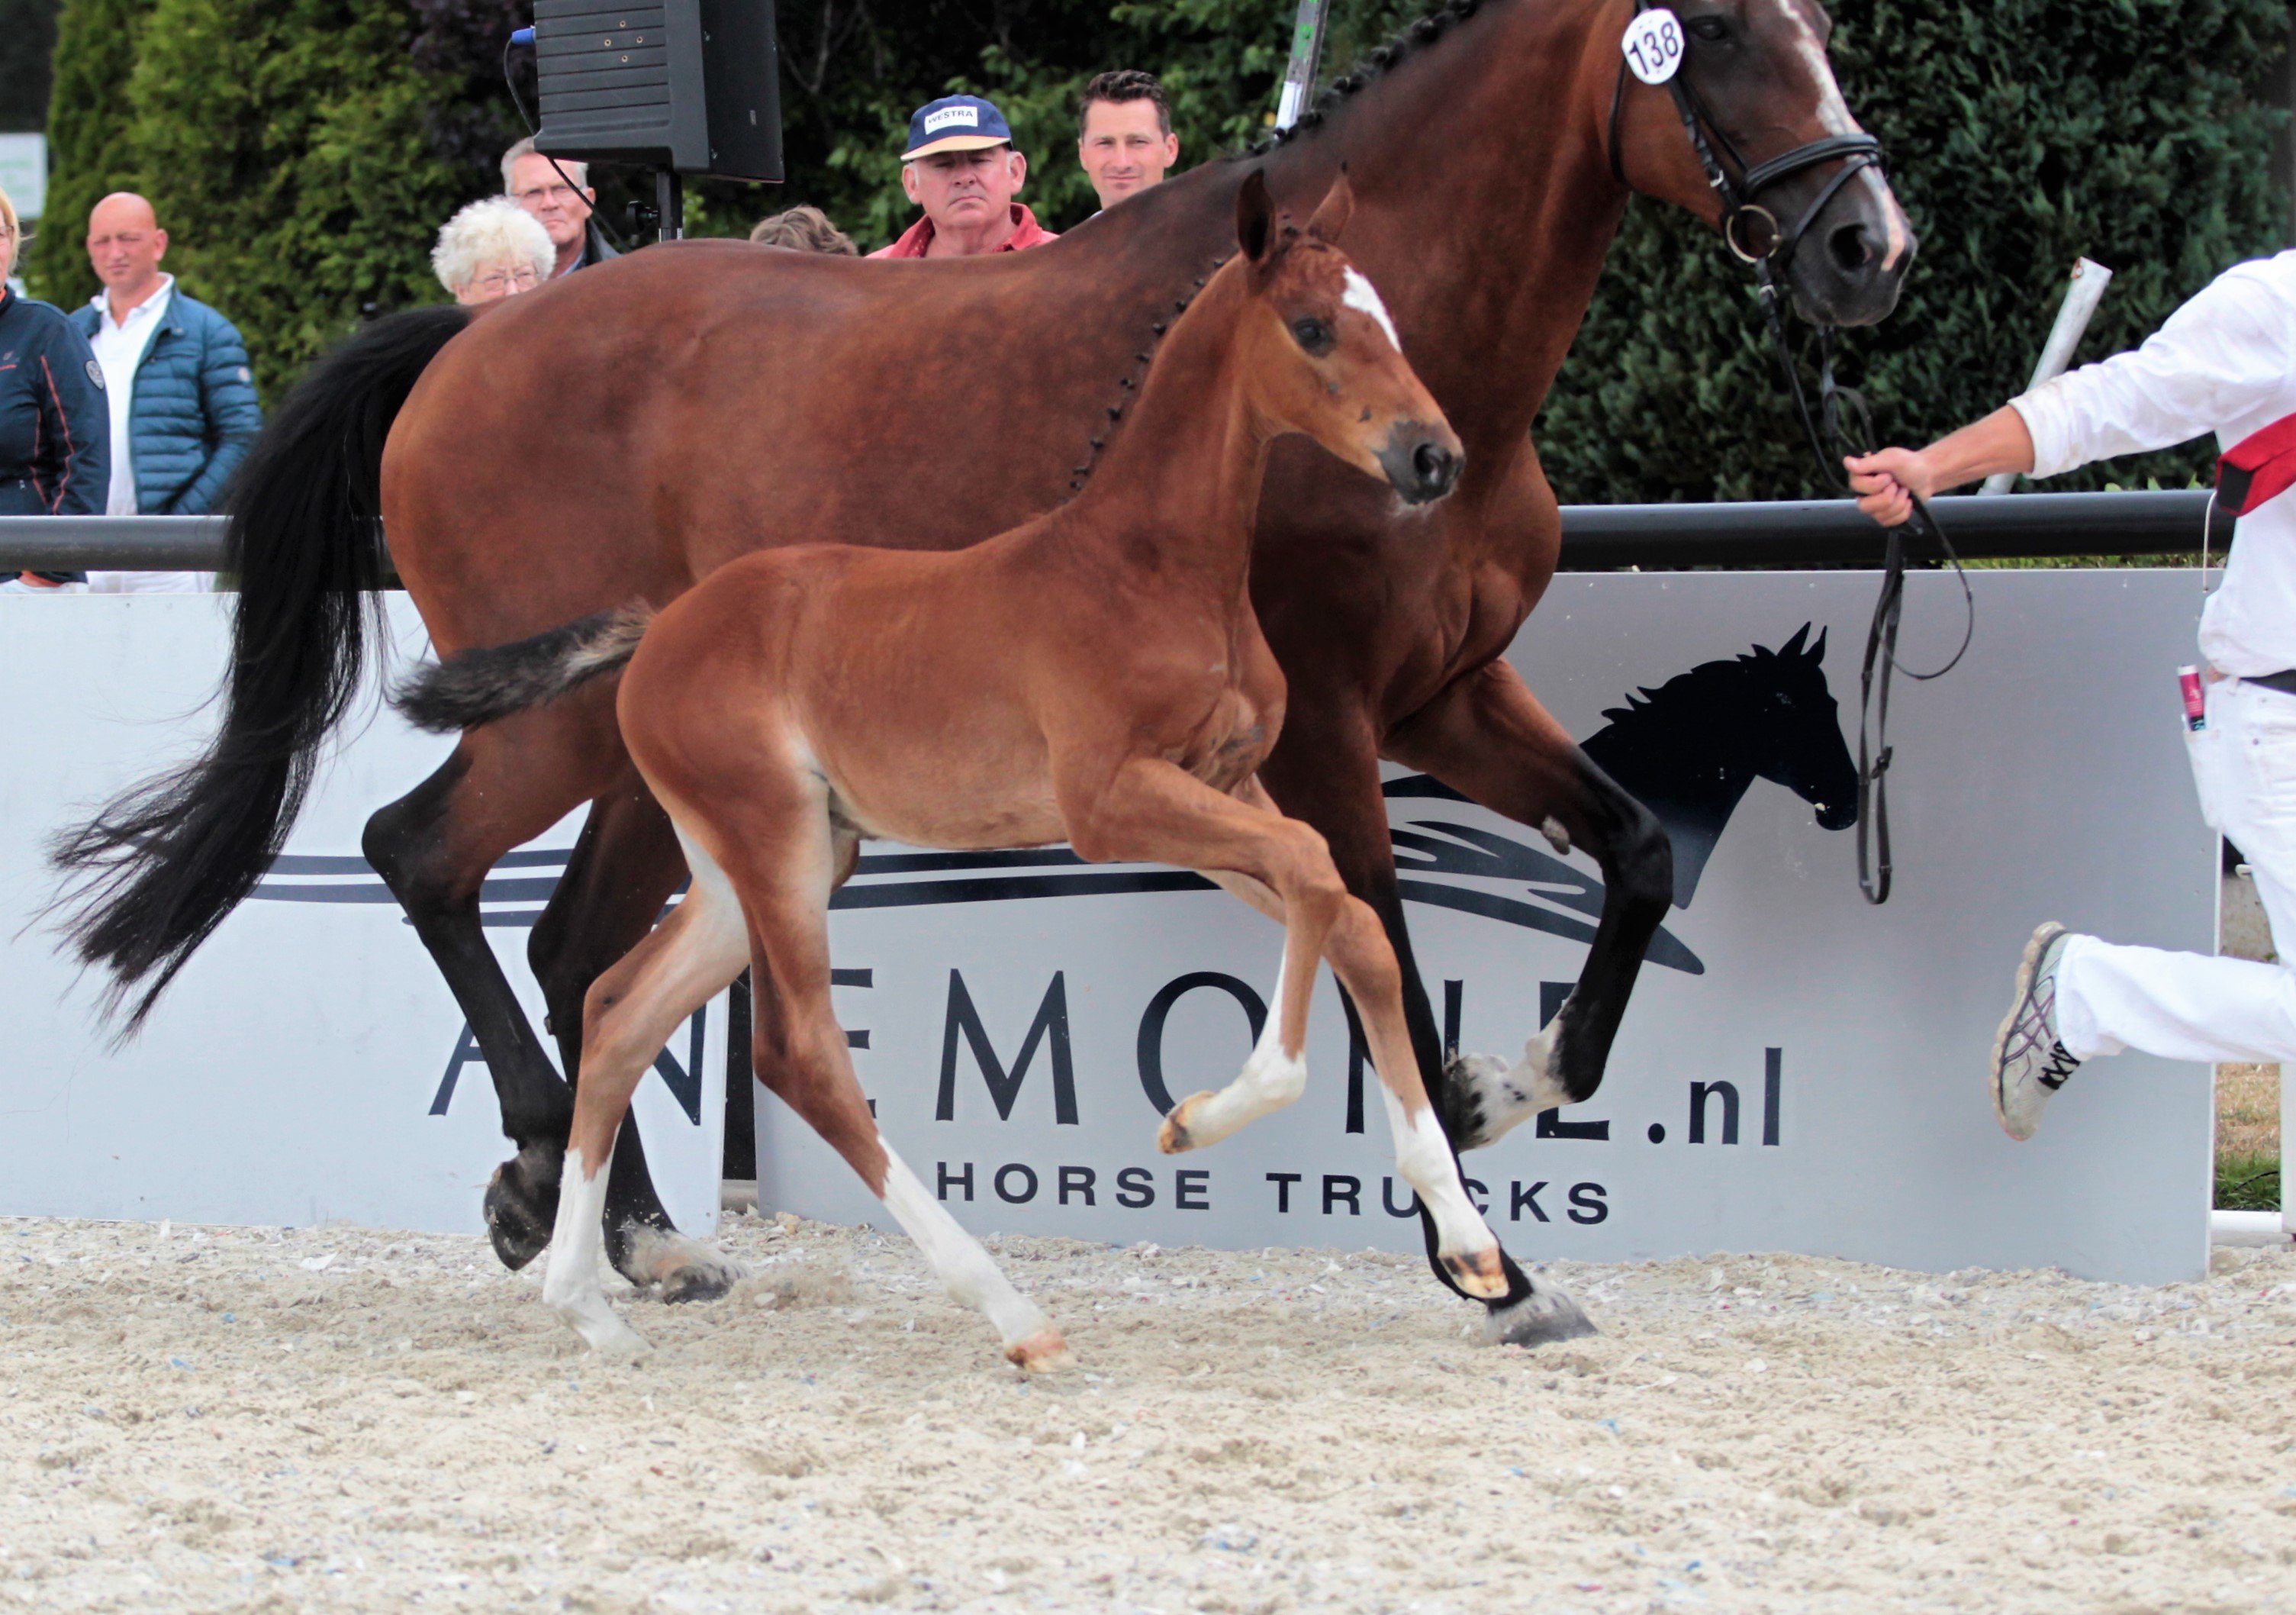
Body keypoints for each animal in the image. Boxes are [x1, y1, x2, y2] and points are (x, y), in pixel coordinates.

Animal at [404, 173, 1496, 1359]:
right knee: (799, 1054)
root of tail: (656, 631)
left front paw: (1475, 1246)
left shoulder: (1220, 785)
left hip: (771, 860)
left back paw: (591, 1306)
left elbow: (1345, 916)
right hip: (774, 846)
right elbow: (1311, 867)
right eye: (1312, 328)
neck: (1148, 567)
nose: (1435, 457)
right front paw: (1207, 1114)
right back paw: (1008, 1308)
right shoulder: (1111, 801)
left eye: (1387, 316)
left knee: (615, 1013)